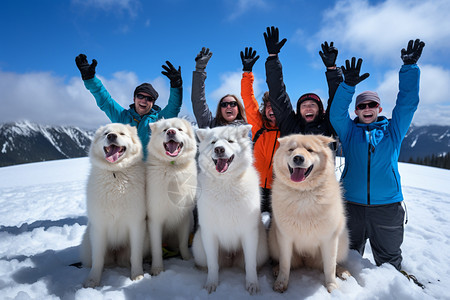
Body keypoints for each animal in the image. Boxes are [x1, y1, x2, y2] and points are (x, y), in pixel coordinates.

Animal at [79, 122, 146, 288]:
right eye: (106, 133)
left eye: (122, 133)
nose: (111, 136)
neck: (116, 174)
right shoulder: (99, 228)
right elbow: (98, 259)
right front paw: (92, 280)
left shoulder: (136, 225)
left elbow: (136, 256)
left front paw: (137, 275)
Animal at [147, 118, 198, 276]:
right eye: (165, 130)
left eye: (180, 129)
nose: (171, 132)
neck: (173, 168)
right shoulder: (155, 219)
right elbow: (156, 248)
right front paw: (157, 269)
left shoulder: (184, 217)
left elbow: (183, 243)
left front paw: (187, 259)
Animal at [192, 125, 268, 296]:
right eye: (213, 142)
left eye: (230, 141)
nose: (219, 149)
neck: (225, 184)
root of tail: (231, 256)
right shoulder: (209, 234)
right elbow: (213, 265)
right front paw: (211, 285)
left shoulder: (249, 234)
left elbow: (250, 264)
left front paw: (252, 285)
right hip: (199, 248)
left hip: (261, 250)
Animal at [268, 134, 350, 292]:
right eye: (291, 149)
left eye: (310, 150)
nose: (298, 158)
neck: (303, 193)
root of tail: (306, 259)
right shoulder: (284, 237)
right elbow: (285, 264)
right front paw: (281, 283)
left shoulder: (330, 239)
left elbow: (330, 267)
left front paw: (332, 287)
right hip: (274, 242)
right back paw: (275, 269)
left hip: (343, 240)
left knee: (335, 263)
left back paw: (343, 272)